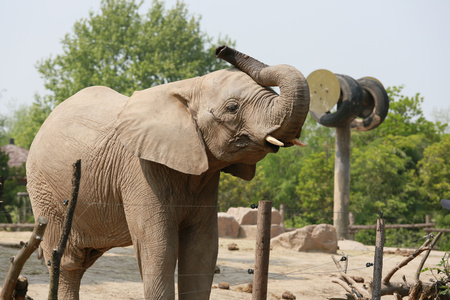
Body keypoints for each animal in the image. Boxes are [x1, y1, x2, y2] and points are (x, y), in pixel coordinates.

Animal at [26, 45, 310, 298]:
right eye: (233, 108)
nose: (221, 49)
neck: (187, 87)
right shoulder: (140, 168)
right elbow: (160, 248)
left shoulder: (205, 175)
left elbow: (202, 250)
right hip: (45, 193)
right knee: (66, 261)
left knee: (81, 260)